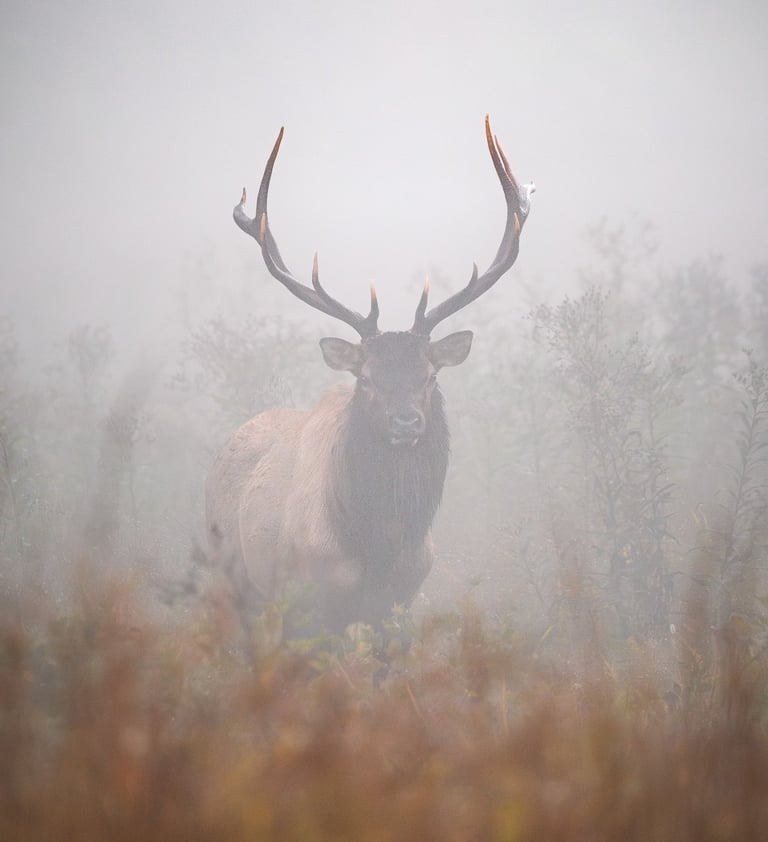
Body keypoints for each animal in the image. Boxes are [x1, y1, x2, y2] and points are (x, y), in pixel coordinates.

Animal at [205, 116, 533, 632]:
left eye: (430, 375)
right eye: (366, 378)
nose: (406, 422)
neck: (378, 547)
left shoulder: (399, 602)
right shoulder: (312, 604)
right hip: (232, 578)